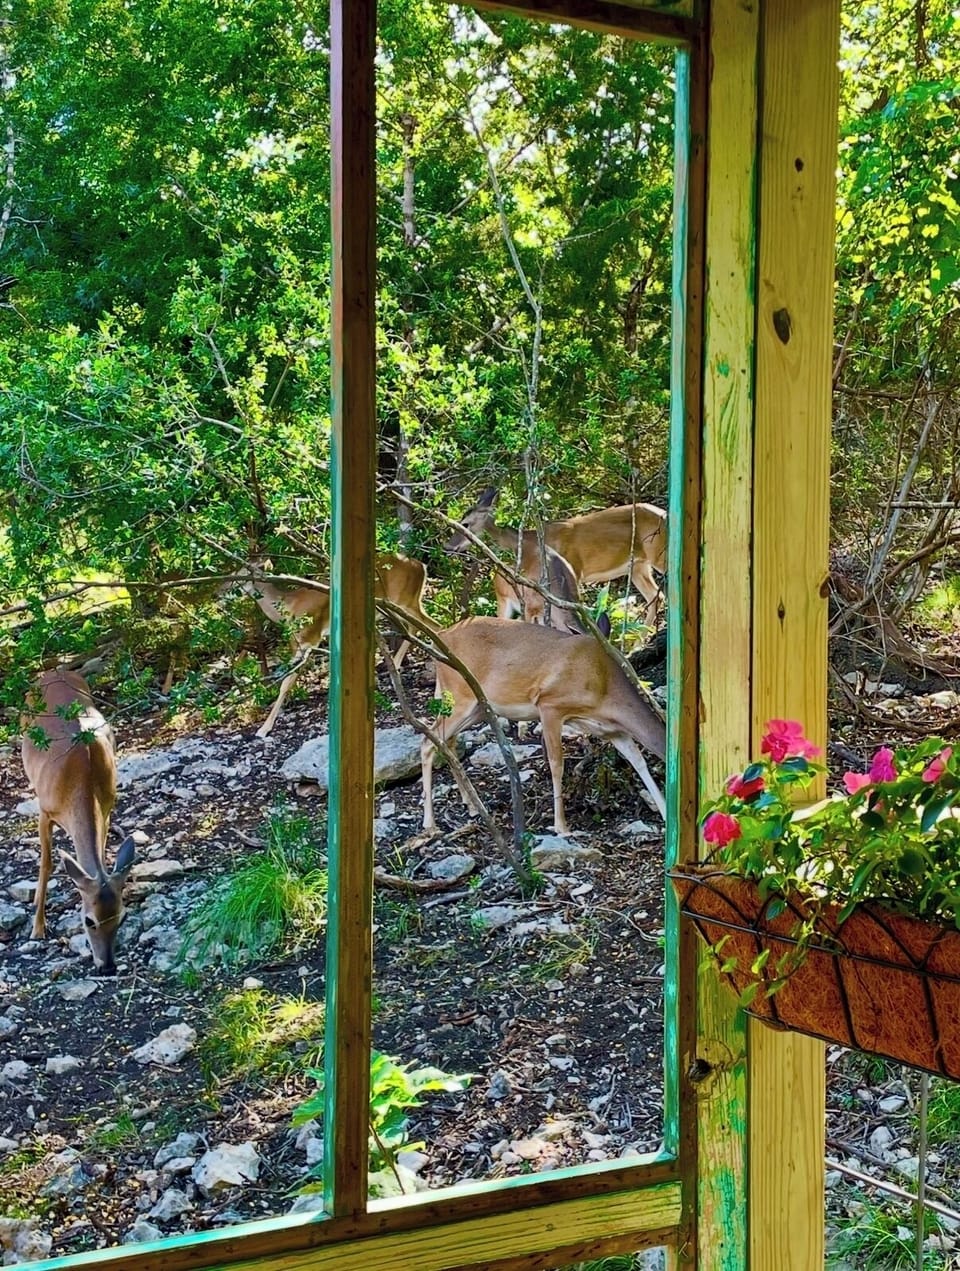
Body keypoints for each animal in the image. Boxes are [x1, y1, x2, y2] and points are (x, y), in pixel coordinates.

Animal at [20, 670, 136, 975]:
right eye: (88, 921)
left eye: (122, 917)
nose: (107, 966)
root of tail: (54, 671)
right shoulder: (45, 810)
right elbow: (47, 864)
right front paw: (38, 928)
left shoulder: (106, 807)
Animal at [233, 552, 431, 738]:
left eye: (241, 575)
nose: (224, 589)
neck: (288, 608)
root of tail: (421, 566)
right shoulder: (299, 642)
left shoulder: (310, 638)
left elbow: (287, 681)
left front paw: (264, 728)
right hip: (403, 603)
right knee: (420, 627)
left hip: (404, 600)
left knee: (429, 627)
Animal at [420, 618, 666, 836]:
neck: (604, 687)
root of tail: (441, 636)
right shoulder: (550, 705)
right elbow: (557, 764)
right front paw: (561, 826)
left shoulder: (614, 730)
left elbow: (638, 761)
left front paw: (665, 813)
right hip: (461, 696)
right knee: (427, 740)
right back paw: (430, 823)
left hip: (476, 707)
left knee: (446, 741)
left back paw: (470, 805)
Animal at [453, 487, 667, 628]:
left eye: (465, 523)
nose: (449, 546)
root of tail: (665, 514)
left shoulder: (574, 566)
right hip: (639, 566)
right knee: (656, 596)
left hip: (658, 554)